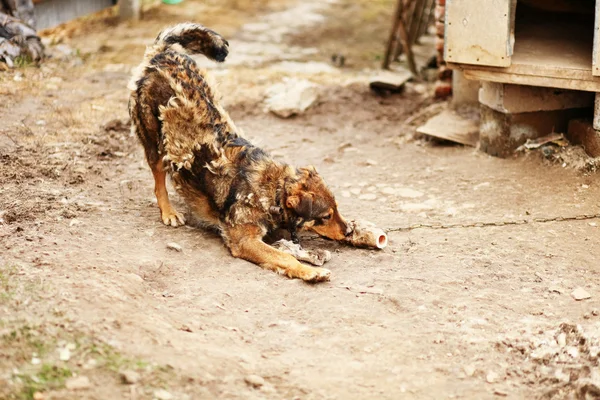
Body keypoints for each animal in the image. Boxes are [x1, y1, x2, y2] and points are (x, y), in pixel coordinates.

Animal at [128, 23, 350, 282]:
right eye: (326, 216)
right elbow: (284, 257)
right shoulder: (244, 239)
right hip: (152, 139)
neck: (273, 190)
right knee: (158, 180)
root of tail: (161, 54)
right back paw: (169, 212)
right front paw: (311, 272)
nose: (350, 231)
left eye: (337, 209)